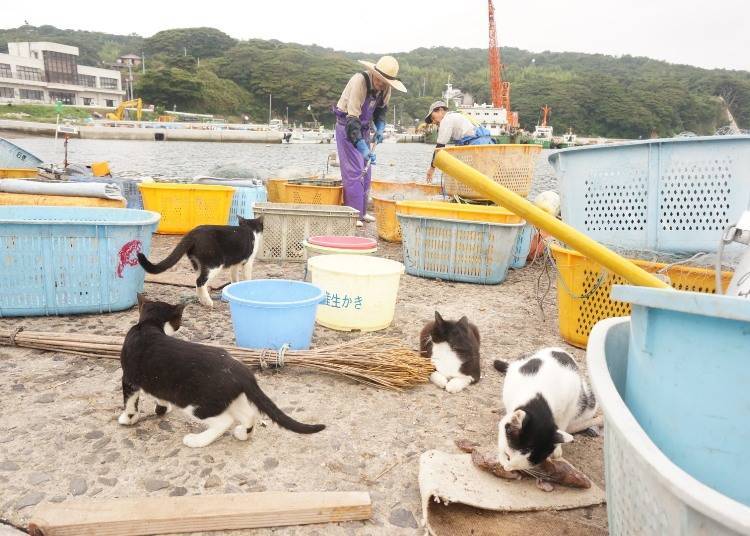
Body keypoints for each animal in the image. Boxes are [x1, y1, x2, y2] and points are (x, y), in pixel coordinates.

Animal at [119, 294, 324, 448]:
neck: (148, 325)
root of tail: (241, 370)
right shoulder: (155, 379)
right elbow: (158, 394)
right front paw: (162, 408)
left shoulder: (129, 377)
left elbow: (130, 401)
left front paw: (128, 419)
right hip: (231, 397)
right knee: (249, 414)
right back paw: (243, 434)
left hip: (197, 402)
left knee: (224, 421)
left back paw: (196, 440)